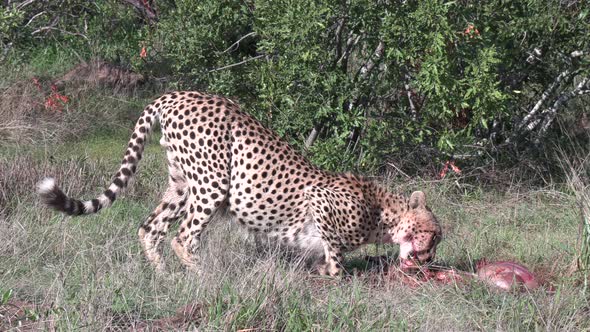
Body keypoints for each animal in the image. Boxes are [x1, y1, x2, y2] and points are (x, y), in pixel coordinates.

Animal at [37, 91, 442, 274]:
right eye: (435, 235)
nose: (430, 259)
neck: (382, 215)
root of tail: (174, 94)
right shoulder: (319, 200)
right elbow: (335, 256)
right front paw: (334, 278)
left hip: (182, 183)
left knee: (150, 227)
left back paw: (163, 276)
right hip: (212, 183)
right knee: (183, 236)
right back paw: (201, 276)